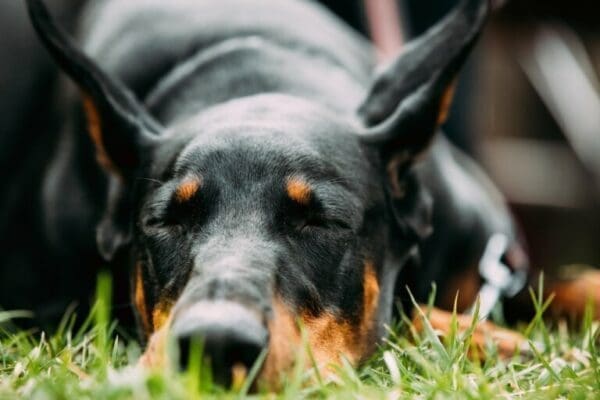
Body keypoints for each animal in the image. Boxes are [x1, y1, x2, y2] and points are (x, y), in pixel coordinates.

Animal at [14, 0, 600, 388]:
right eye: (167, 221)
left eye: (320, 221)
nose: (216, 345)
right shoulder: (55, 304)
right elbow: (400, 314)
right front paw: (492, 340)